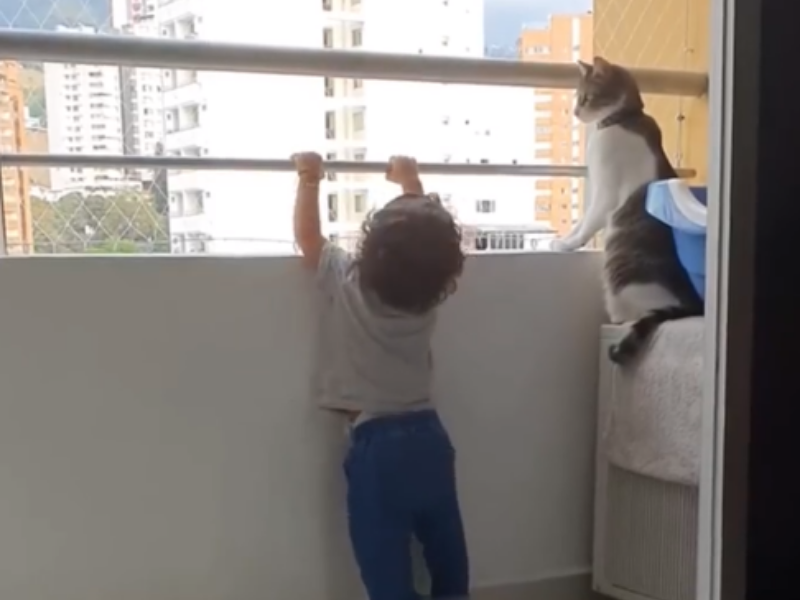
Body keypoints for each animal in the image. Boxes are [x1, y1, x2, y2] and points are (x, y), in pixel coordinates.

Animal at [552, 57, 704, 366]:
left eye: (585, 97)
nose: (575, 111)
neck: (623, 119)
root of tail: (691, 305)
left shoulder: (605, 194)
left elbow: (586, 225)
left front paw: (567, 244)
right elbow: (580, 224)